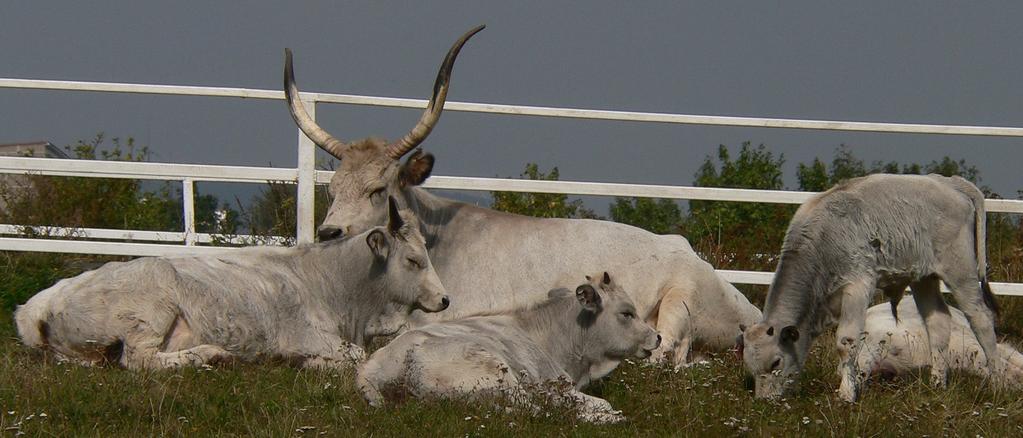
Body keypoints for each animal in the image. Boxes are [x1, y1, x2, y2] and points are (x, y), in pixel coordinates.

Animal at [14, 198, 448, 370]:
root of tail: (43, 301)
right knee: (140, 361)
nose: (445, 300)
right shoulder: (311, 337)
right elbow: (353, 355)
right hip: (151, 311)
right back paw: (211, 354)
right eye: (413, 260)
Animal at [356, 272, 658, 421]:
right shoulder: (555, 385)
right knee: (540, 411)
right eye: (627, 313)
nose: (658, 337)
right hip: (499, 375)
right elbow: (601, 403)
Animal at [740, 173, 994, 401]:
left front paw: (846, 393)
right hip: (924, 278)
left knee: (981, 319)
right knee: (938, 322)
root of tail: (948, 182)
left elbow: (846, 342)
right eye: (750, 366)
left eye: (776, 362)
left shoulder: (857, 286)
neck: (822, 238)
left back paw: (996, 380)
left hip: (960, 272)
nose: (764, 400)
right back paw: (937, 383)